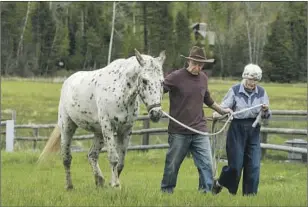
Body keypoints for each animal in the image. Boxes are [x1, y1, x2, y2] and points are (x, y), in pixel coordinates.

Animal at [38, 48, 166, 189]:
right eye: (144, 80)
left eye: (162, 82)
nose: (156, 113)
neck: (120, 91)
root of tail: (68, 81)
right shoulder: (108, 127)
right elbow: (113, 158)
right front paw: (115, 184)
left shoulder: (126, 130)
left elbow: (121, 162)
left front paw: (113, 182)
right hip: (68, 126)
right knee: (67, 157)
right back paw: (69, 185)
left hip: (99, 133)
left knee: (92, 155)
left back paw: (99, 180)